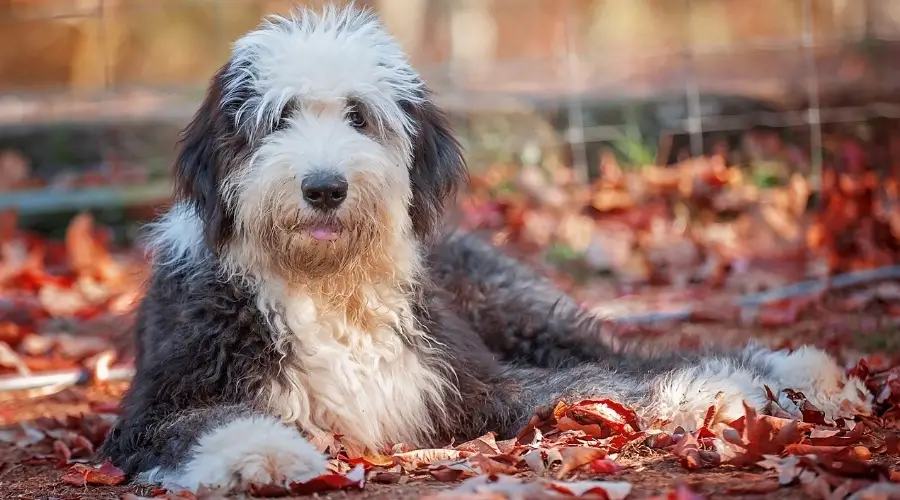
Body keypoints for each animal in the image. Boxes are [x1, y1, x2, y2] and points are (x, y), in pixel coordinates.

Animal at [96, 3, 872, 494]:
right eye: (278, 118)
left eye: (359, 116)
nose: (323, 187)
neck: (328, 288)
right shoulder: (153, 409)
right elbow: (203, 422)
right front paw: (263, 453)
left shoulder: (469, 381)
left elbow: (598, 387)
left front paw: (710, 393)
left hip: (520, 312)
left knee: (623, 356)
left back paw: (790, 371)